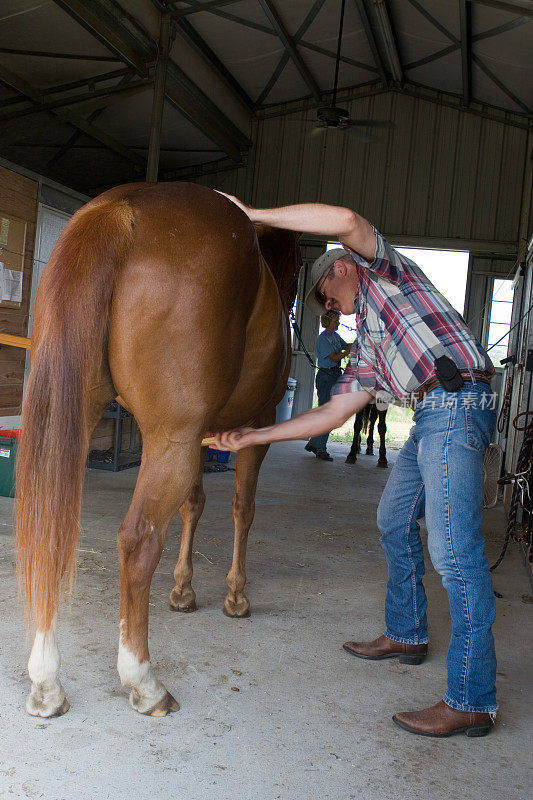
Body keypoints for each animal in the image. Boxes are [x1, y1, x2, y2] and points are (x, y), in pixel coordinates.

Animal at [14, 183, 302, 720]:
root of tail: (121, 208)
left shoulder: (203, 438)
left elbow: (194, 505)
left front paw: (184, 590)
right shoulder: (253, 430)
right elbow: (242, 510)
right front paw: (235, 595)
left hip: (80, 421)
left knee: (50, 530)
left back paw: (46, 684)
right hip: (173, 441)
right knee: (138, 540)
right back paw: (144, 682)